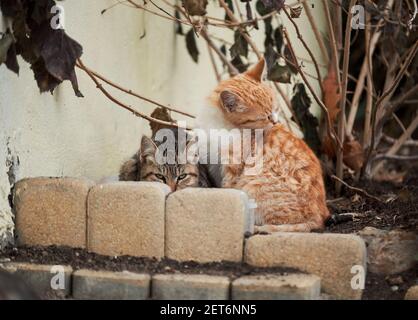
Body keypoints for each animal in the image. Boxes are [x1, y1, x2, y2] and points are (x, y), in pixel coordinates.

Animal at [198, 58, 332, 232]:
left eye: (275, 109)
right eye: (263, 118)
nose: (275, 121)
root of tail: (320, 217)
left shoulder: (232, 169)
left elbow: (229, 191)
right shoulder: (213, 164)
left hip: (256, 185)